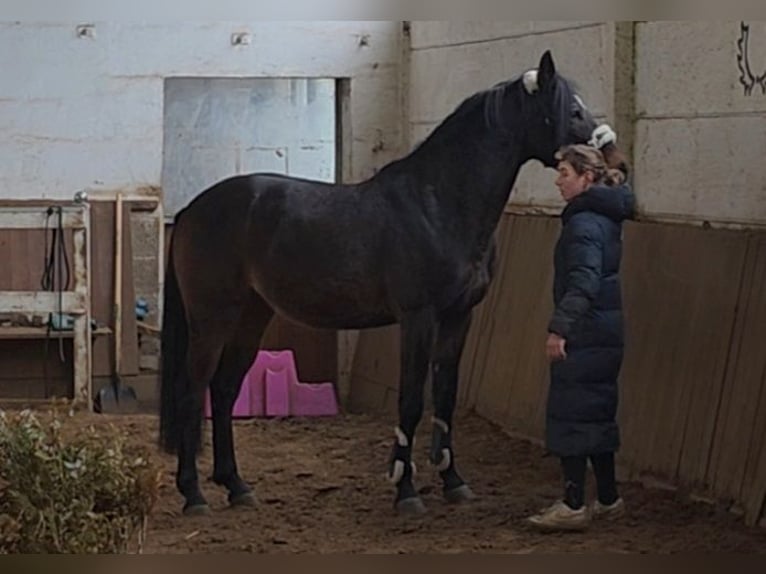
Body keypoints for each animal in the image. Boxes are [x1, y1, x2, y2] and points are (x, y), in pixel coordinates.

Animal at [159, 50, 629, 516]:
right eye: (573, 111)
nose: (618, 165)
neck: (438, 204)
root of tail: (191, 209)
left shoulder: (459, 317)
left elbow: (444, 396)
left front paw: (453, 482)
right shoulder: (418, 318)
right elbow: (411, 399)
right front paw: (406, 490)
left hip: (251, 316)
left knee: (222, 391)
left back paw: (236, 486)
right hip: (211, 319)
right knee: (191, 391)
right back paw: (194, 495)